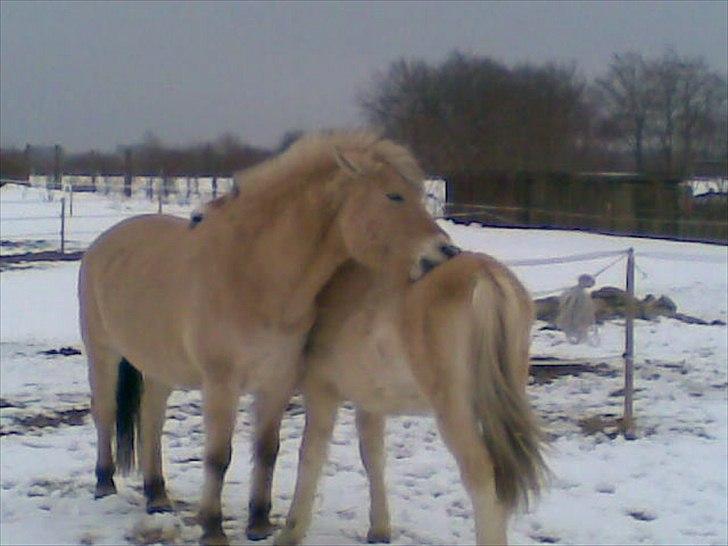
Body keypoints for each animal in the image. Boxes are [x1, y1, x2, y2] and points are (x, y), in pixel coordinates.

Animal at [278, 251, 544, 544]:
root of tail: (486, 274)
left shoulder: (320, 390)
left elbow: (310, 456)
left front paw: (291, 530)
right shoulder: (371, 401)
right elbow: (373, 456)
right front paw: (380, 528)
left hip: (454, 410)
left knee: (482, 476)